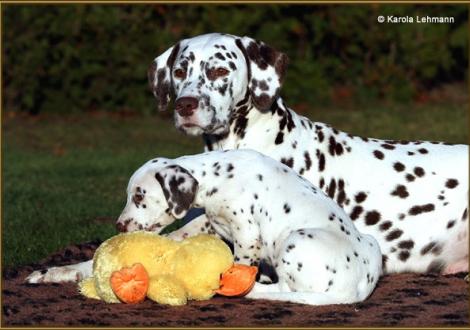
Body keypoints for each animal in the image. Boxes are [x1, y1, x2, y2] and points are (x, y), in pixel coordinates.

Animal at [113, 148, 382, 306]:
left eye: (139, 196)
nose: (119, 225)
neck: (220, 176)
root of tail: (356, 292)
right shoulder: (212, 221)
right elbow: (187, 229)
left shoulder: (246, 231)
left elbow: (240, 264)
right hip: (372, 242)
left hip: (295, 241)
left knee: (282, 289)